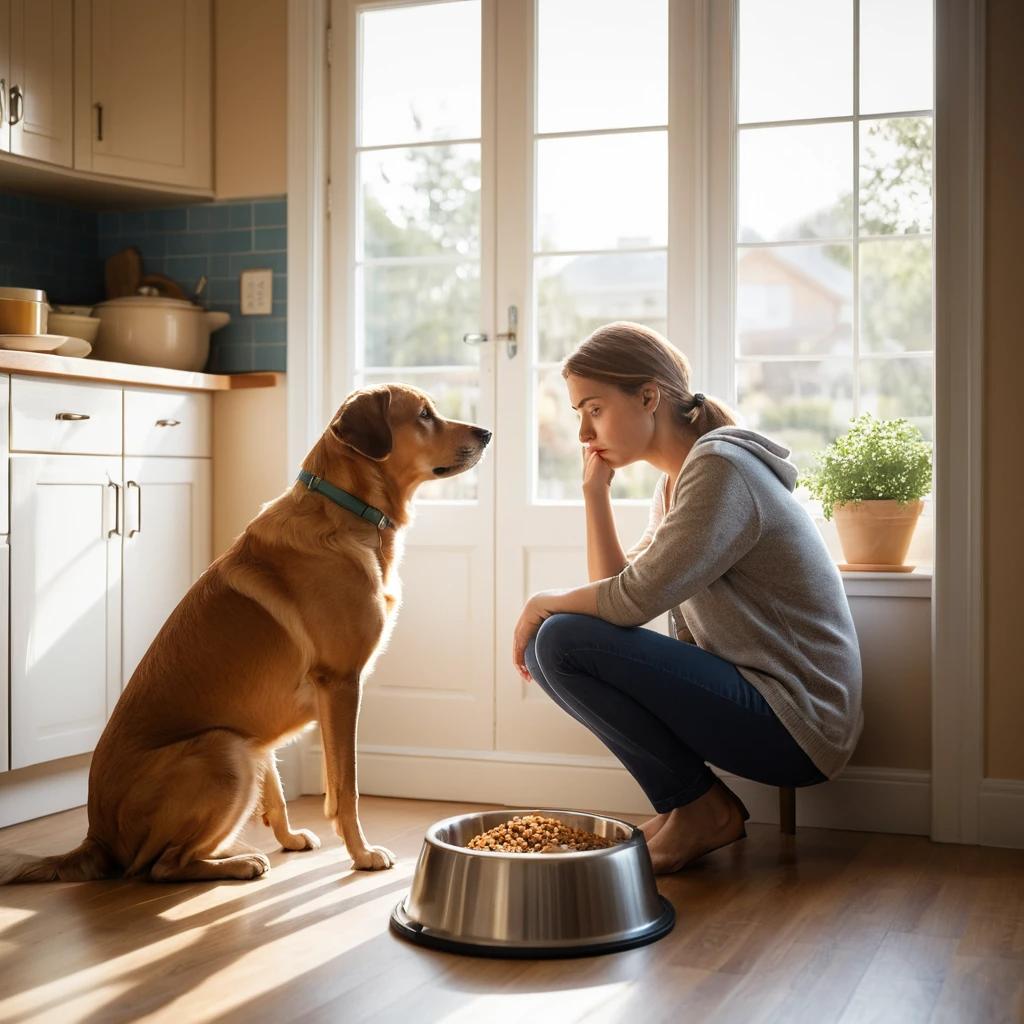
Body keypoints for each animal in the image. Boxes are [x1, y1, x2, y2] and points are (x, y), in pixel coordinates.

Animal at [0, 382, 495, 880]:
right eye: (424, 415)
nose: (487, 432)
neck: (346, 509)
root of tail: (95, 836)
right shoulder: (340, 683)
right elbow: (346, 787)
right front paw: (361, 853)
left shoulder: (276, 718)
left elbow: (290, 787)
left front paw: (292, 837)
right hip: (226, 749)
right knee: (161, 866)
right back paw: (239, 863)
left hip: (242, 745)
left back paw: (232, 849)